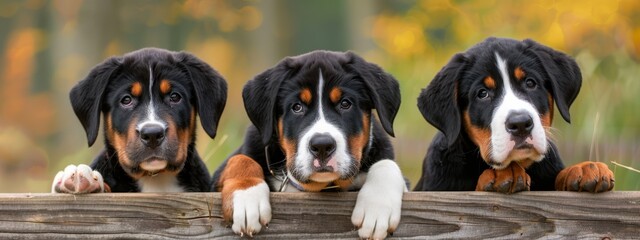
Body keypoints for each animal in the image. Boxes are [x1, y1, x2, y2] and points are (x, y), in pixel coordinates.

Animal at [214, 50, 404, 238]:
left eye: (345, 104)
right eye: (297, 107)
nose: (322, 146)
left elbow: (386, 164)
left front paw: (378, 208)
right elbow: (241, 159)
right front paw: (246, 197)